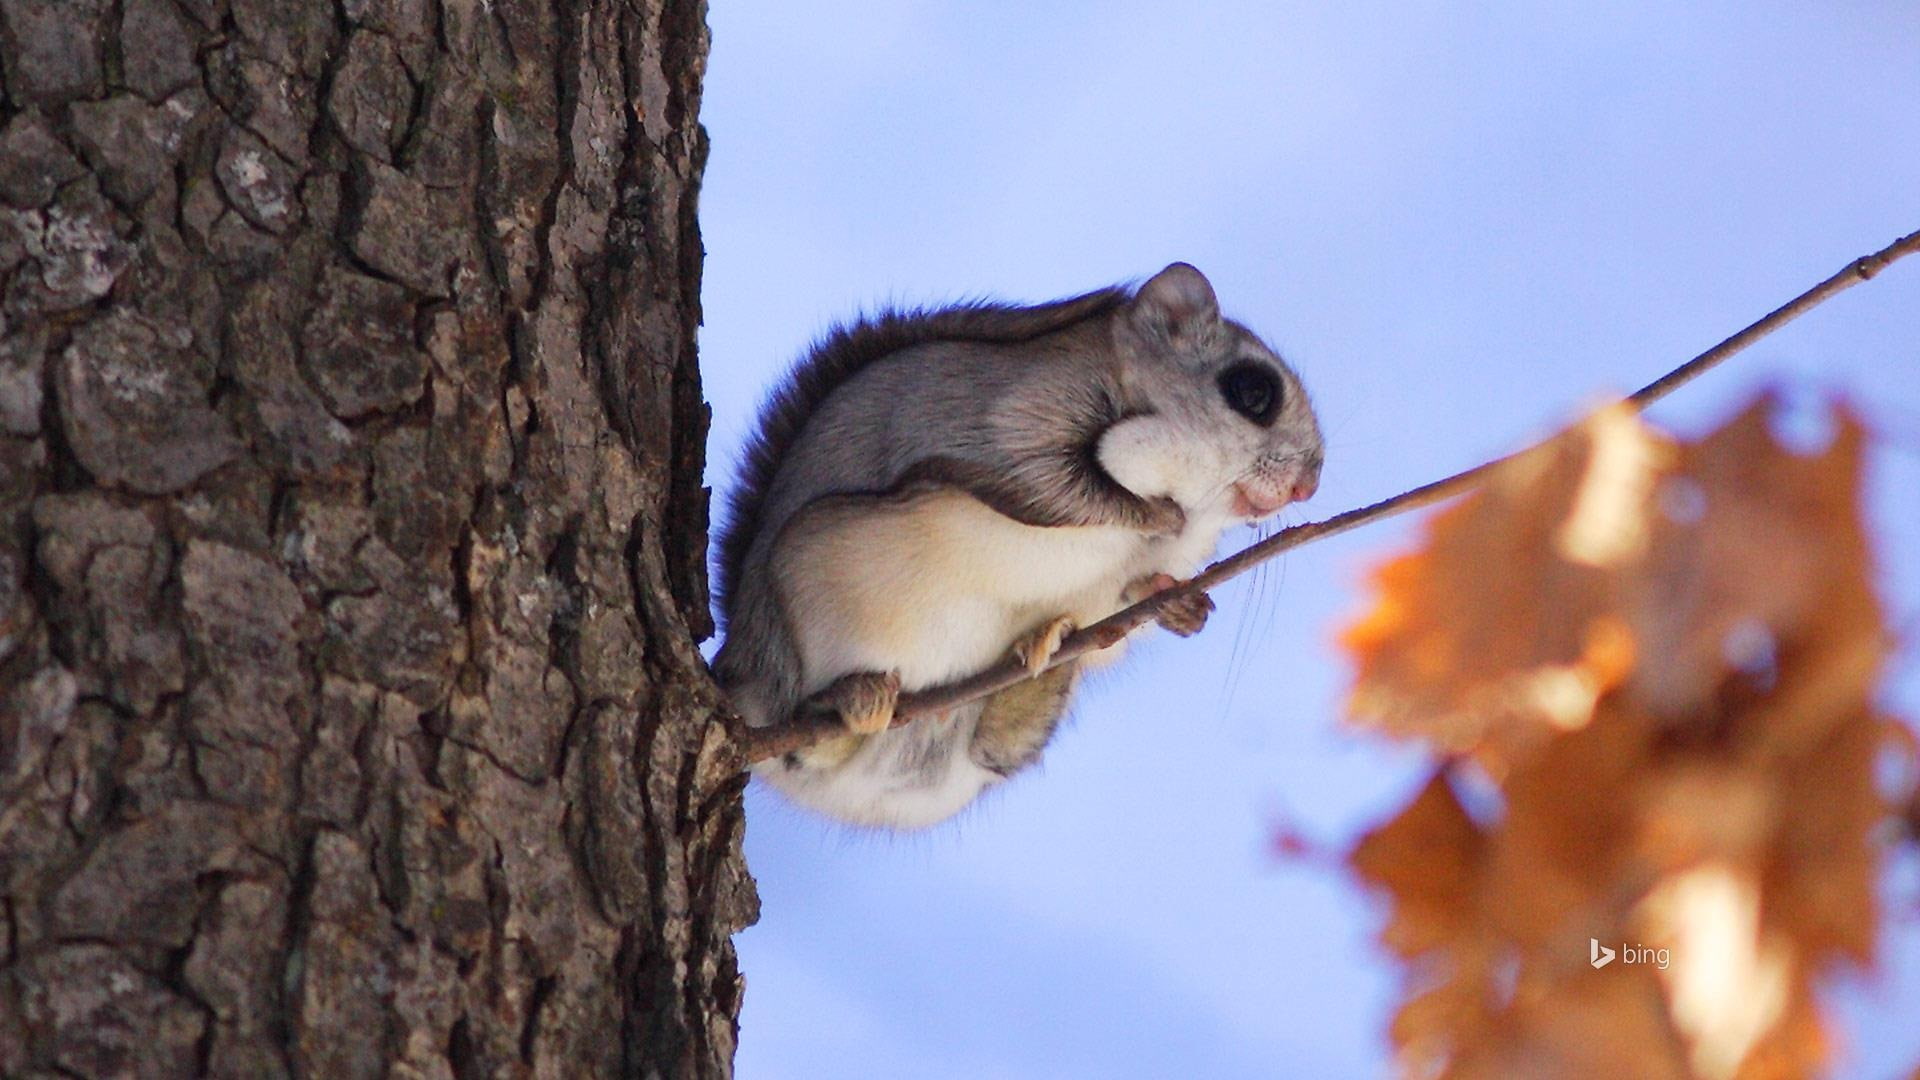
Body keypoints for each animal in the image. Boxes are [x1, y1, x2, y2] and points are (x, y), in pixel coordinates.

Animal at [713, 263, 1324, 828]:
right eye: (1252, 391)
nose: (1308, 485)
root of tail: (742, 670)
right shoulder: (1018, 414)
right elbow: (1051, 485)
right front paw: (1154, 513)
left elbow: (1136, 585)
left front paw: (1178, 603)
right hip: (815, 582)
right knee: (802, 739)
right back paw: (852, 699)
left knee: (993, 747)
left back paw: (1044, 651)